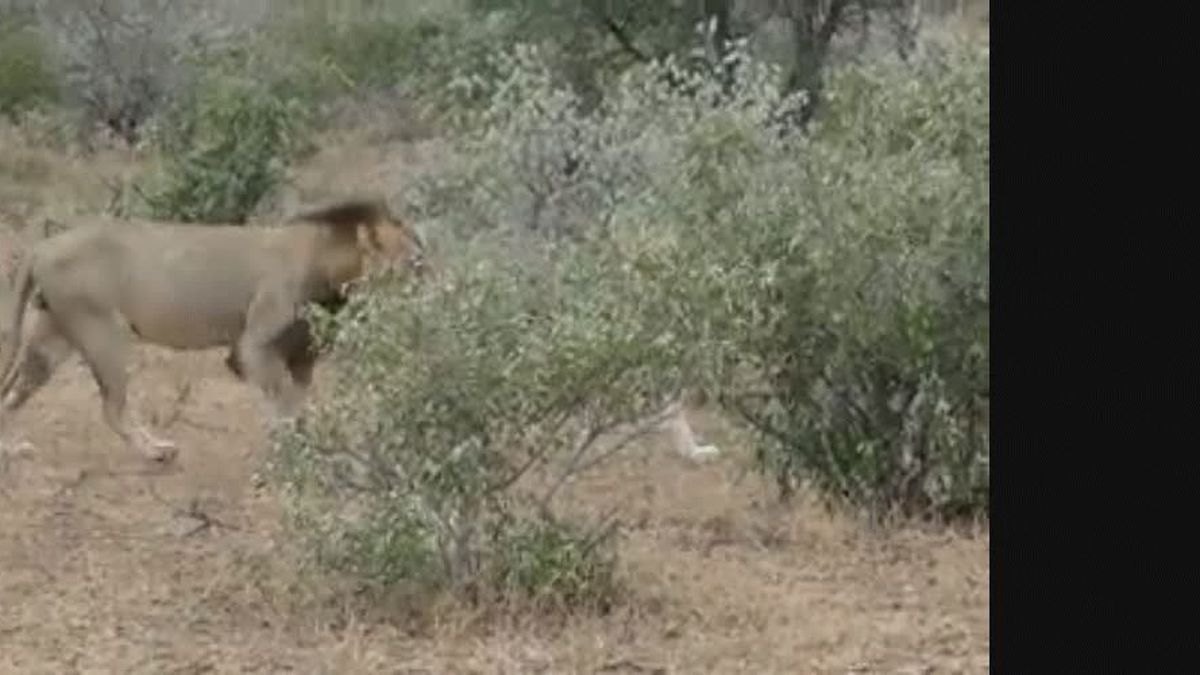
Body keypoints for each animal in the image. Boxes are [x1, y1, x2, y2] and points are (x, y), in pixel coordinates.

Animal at [0, 195, 429, 461]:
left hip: (53, 336)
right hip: (101, 330)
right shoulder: (252, 346)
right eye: (414, 262)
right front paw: (291, 450)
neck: (330, 264)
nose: (432, 280)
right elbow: (281, 402)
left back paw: (11, 449)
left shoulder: (303, 353)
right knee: (112, 409)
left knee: (12, 395)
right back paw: (157, 451)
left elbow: (298, 401)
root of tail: (41, 246)